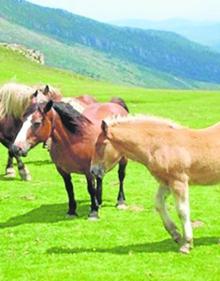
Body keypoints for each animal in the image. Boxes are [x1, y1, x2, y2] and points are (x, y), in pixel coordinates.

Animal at [90, 112, 220, 253]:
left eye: (100, 144)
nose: (93, 171)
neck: (160, 144)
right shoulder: (165, 182)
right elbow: (158, 203)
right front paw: (176, 234)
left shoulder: (178, 181)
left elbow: (182, 210)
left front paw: (187, 244)